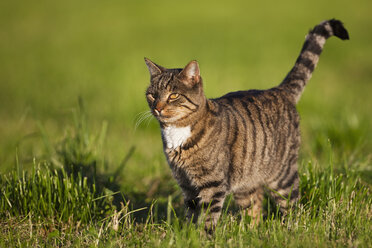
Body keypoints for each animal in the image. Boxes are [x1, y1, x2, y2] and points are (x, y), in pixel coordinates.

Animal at [143, 18, 348, 230]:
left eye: (173, 95)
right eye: (152, 95)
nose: (157, 108)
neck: (177, 134)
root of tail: (279, 90)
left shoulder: (212, 184)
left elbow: (208, 216)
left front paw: (203, 235)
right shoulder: (186, 184)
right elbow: (192, 214)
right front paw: (188, 233)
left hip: (282, 176)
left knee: (293, 205)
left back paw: (292, 228)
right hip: (246, 180)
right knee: (254, 207)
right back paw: (252, 231)